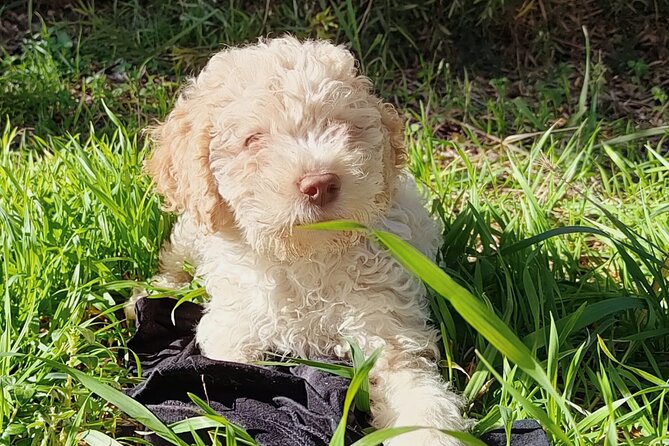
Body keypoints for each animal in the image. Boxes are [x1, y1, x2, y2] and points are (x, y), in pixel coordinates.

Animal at [139, 38, 468, 446]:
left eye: (344, 128)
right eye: (253, 140)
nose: (321, 183)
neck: (305, 259)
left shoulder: (387, 326)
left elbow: (414, 387)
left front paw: (429, 435)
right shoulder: (233, 327)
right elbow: (234, 370)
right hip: (190, 232)